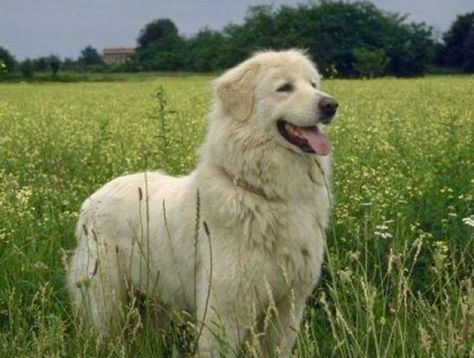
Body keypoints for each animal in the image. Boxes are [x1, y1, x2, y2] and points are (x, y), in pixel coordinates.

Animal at [68, 49, 338, 356]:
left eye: (313, 84)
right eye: (284, 88)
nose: (331, 105)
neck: (265, 193)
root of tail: (93, 199)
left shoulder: (288, 304)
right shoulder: (225, 306)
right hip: (105, 298)